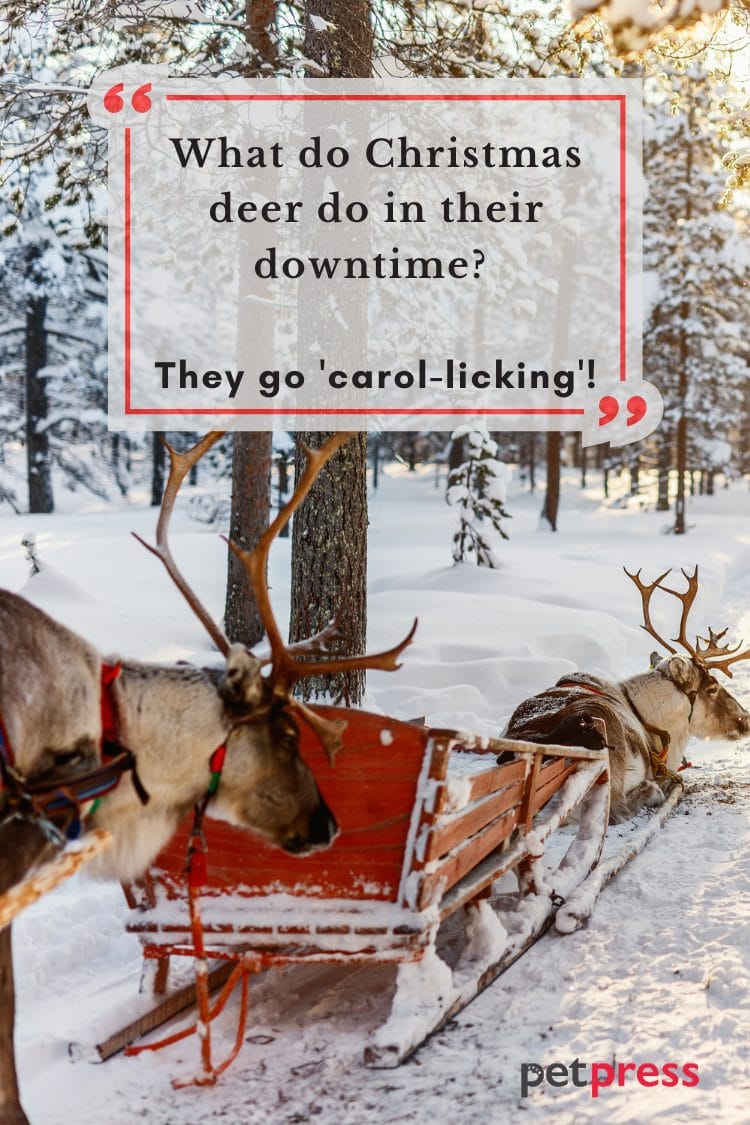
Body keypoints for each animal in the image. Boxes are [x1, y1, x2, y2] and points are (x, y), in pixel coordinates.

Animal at [504, 567, 750, 823]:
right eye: (713, 688)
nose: (746, 719)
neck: (647, 717)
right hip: (605, 730)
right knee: (616, 809)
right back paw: (651, 790)